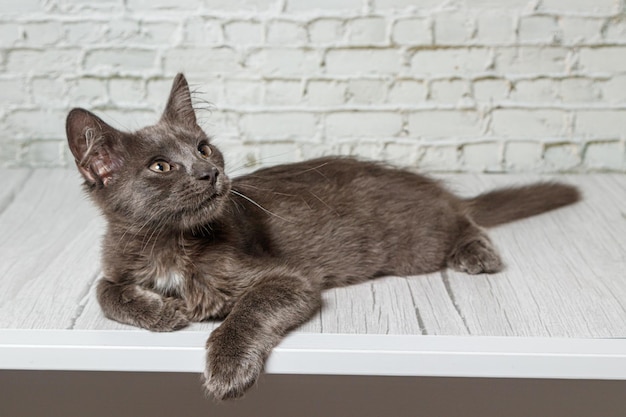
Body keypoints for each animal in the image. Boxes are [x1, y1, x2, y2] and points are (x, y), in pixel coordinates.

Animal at [66, 74, 576, 400]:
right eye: (160, 166)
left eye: (203, 148)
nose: (210, 173)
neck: (172, 244)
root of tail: (428, 185)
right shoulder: (115, 262)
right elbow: (104, 292)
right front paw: (161, 311)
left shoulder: (289, 280)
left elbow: (249, 310)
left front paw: (227, 367)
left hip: (418, 242)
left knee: (463, 219)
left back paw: (477, 251)